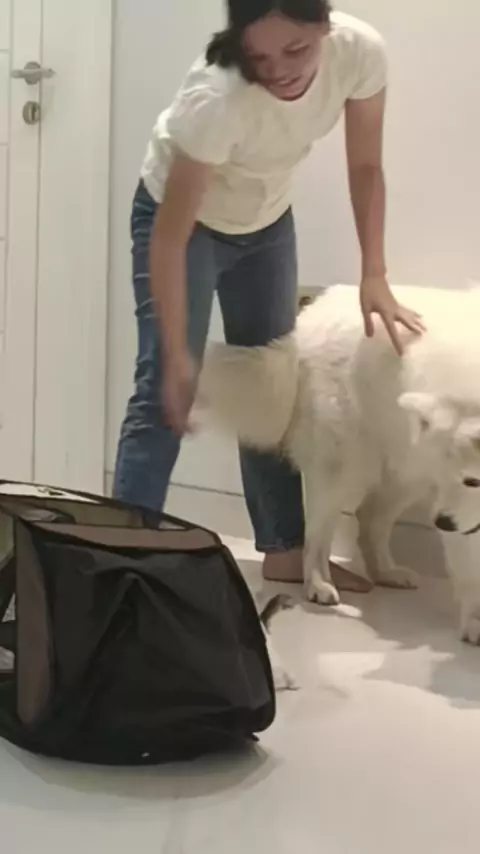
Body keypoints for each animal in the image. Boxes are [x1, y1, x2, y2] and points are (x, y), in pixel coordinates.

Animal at [200, 284, 480, 644]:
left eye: (472, 481)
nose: (443, 523)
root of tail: (311, 318)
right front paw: (474, 624)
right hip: (343, 468)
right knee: (317, 536)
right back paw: (319, 585)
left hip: (405, 471)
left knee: (371, 519)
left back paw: (386, 572)